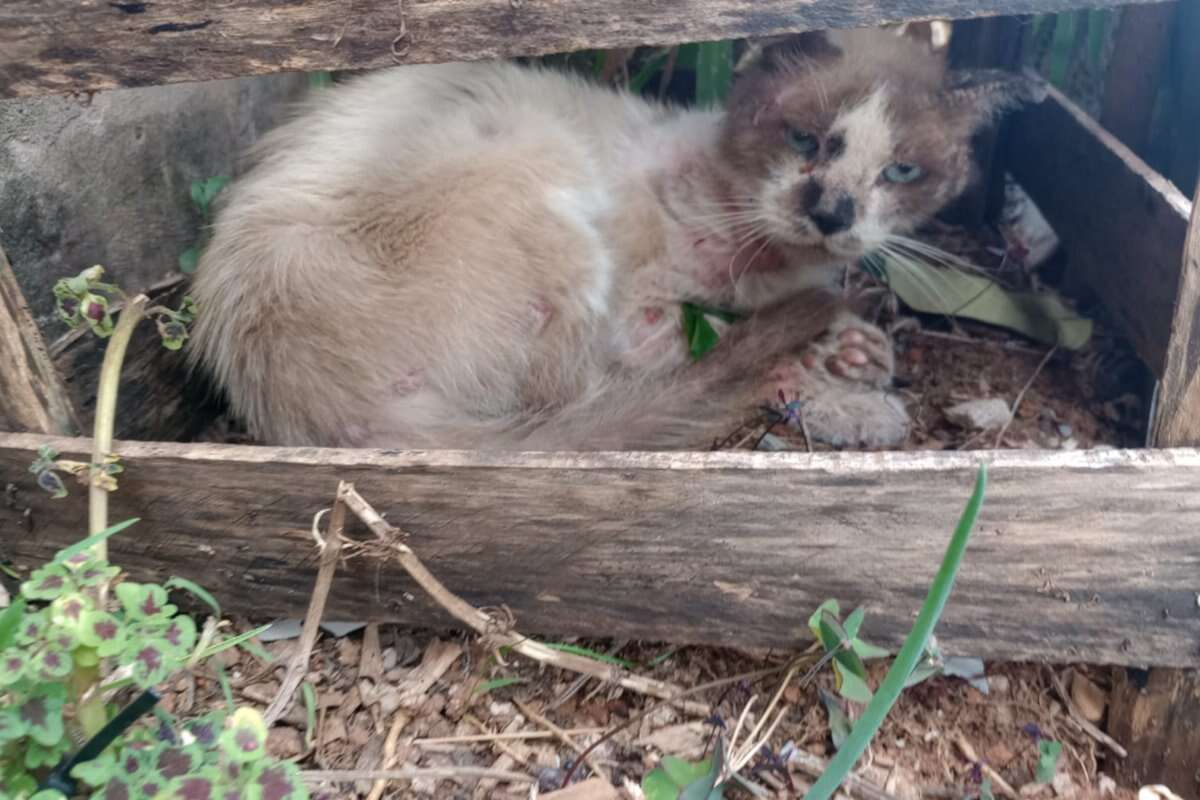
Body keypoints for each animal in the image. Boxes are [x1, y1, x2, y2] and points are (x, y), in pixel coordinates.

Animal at [187, 26, 1041, 450]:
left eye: (902, 171)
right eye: (804, 139)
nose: (832, 213)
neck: (771, 257)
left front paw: (859, 346)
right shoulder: (641, 318)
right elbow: (704, 349)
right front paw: (844, 368)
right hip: (540, 166)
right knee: (581, 403)